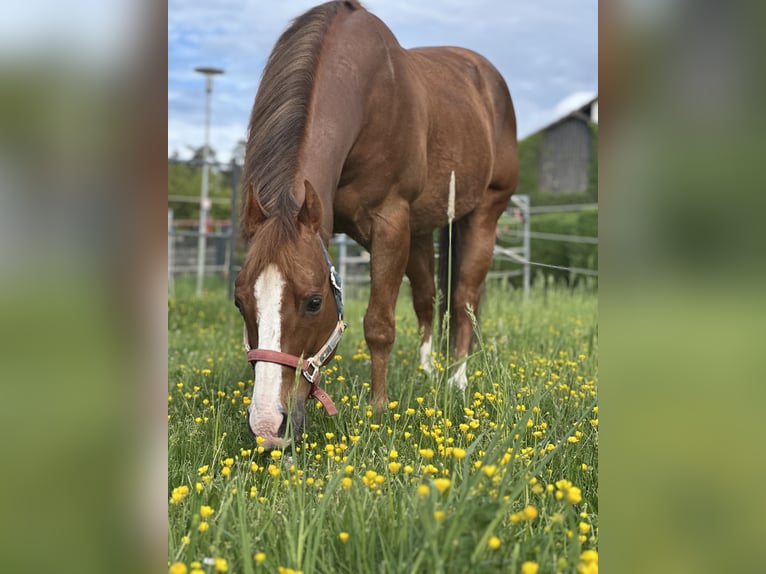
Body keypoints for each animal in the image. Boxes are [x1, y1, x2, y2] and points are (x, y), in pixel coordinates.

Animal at [234, 0, 517, 449]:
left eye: (314, 302)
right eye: (239, 300)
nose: (267, 427)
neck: (368, 95)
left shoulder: (390, 222)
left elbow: (379, 325)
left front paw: (379, 410)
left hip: (483, 215)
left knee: (463, 301)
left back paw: (456, 381)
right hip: (421, 231)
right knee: (427, 300)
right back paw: (426, 371)